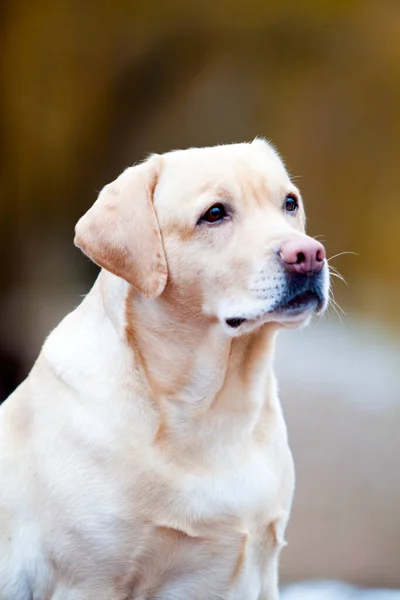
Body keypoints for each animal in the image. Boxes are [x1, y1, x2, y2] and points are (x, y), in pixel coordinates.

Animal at [0, 141, 328, 600]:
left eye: (290, 203)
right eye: (214, 213)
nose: (309, 254)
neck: (213, 409)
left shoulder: (264, 569)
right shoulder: (89, 581)